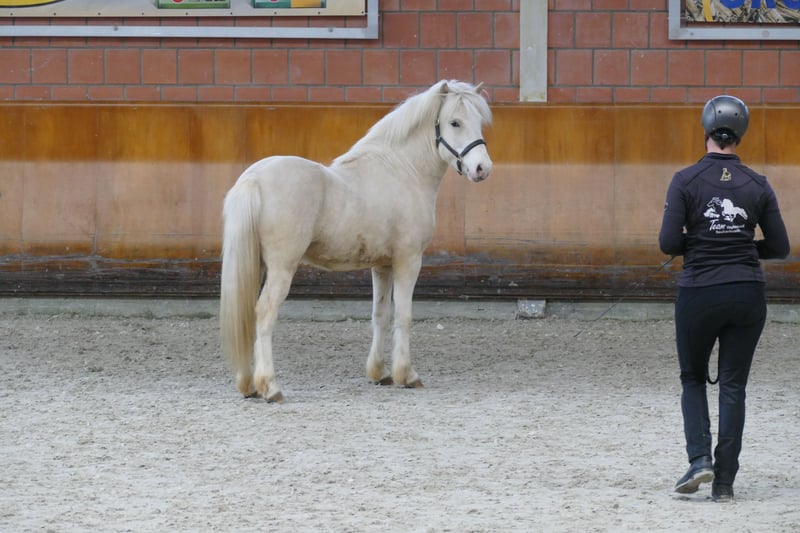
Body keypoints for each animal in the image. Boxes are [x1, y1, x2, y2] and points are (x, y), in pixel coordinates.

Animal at [219, 80, 493, 402]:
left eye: (479, 122)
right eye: (455, 122)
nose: (482, 168)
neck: (403, 171)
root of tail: (253, 180)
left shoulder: (382, 266)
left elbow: (380, 315)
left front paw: (380, 373)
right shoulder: (409, 260)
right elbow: (404, 316)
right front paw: (407, 375)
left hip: (257, 265)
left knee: (247, 315)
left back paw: (248, 385)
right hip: (281, 268)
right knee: (264, 313)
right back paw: (270, 387)